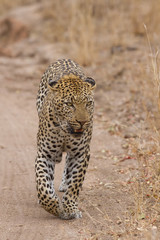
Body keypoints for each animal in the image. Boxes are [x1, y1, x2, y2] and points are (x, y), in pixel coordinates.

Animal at [35, 58, 95, 219]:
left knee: (68, 162)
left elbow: (75, 183)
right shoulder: (45, 154)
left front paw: (70, 208)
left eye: (88, 103)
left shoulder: (81, 154)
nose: (83, 122)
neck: (65, 132)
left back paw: (64, 183)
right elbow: (43, 185)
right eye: (69, 104)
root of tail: (65, 58)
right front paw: (55, 206)